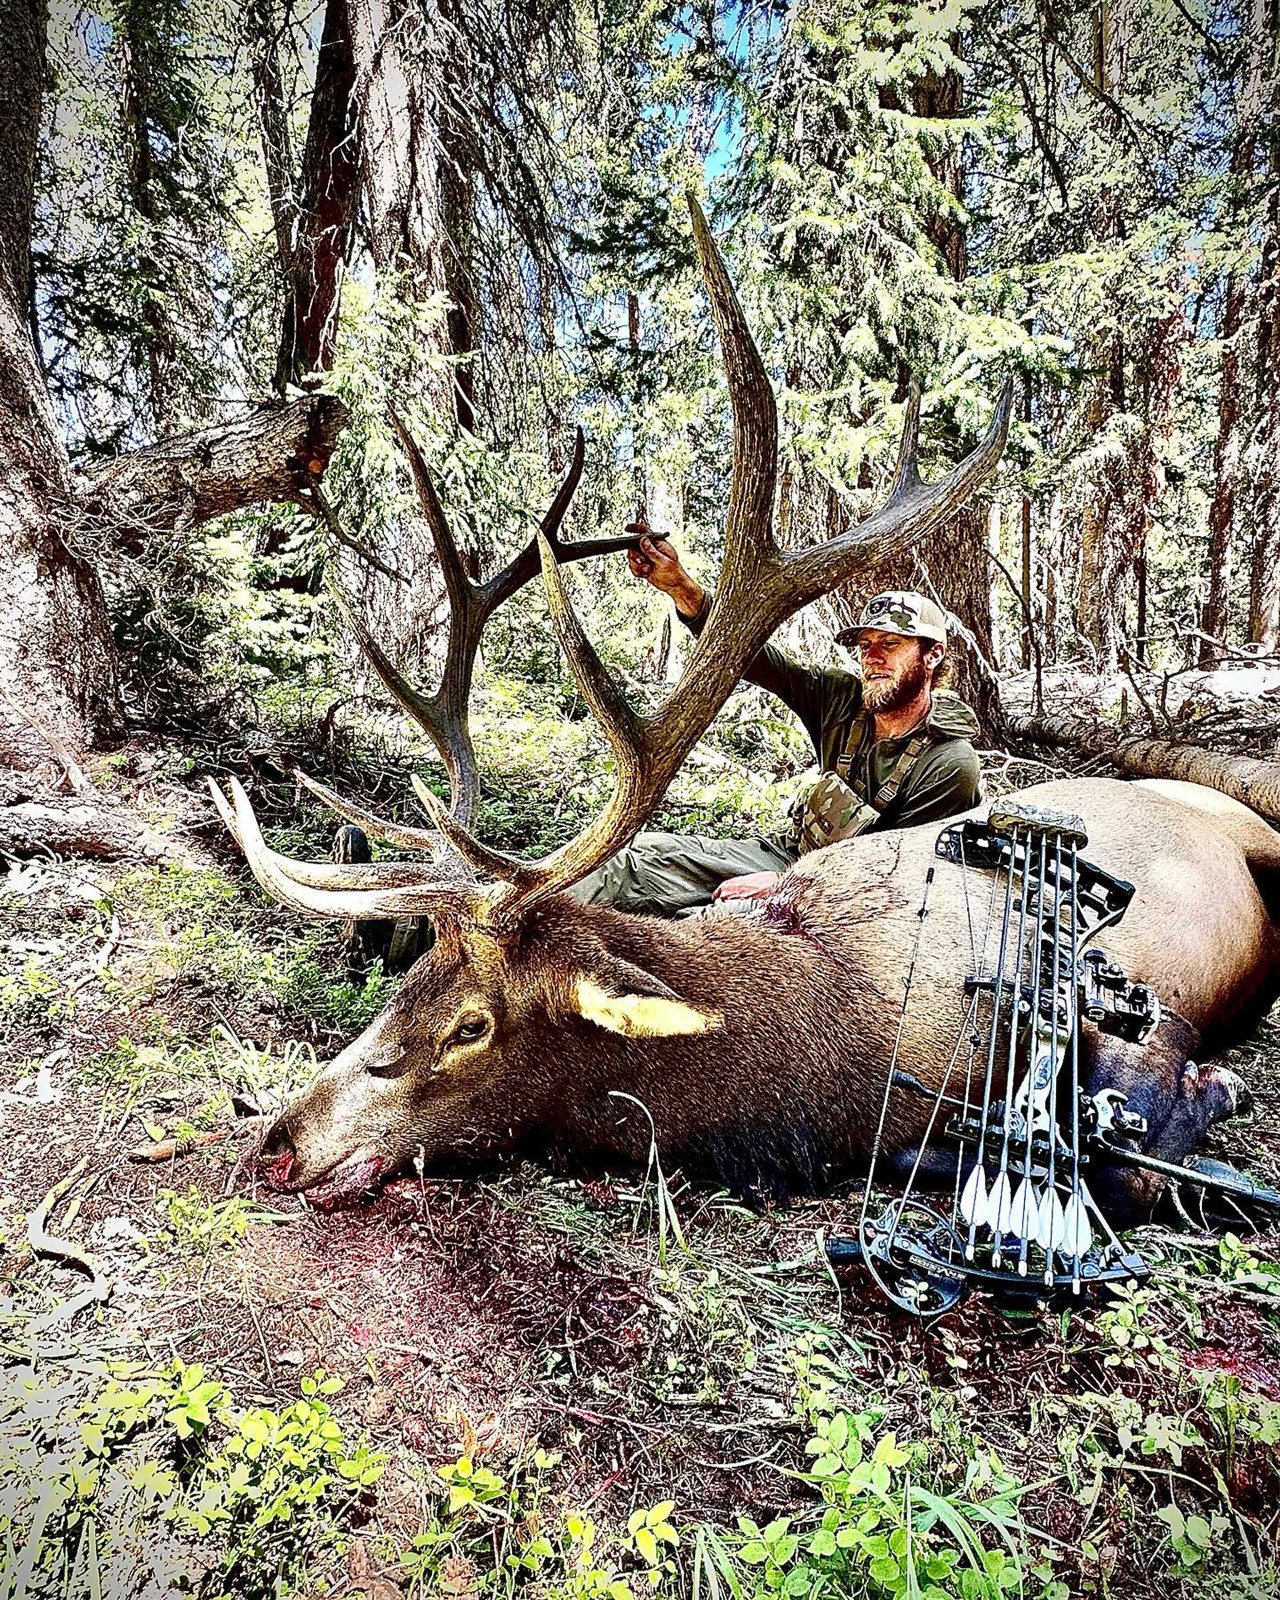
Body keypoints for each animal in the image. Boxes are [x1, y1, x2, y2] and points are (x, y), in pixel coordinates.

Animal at [210, 198, 1280, 1225]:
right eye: (408, 987)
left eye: (473, 1024)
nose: (280, 1140)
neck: (819, 1055)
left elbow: (1124, 1157)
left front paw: (1211, 1096)